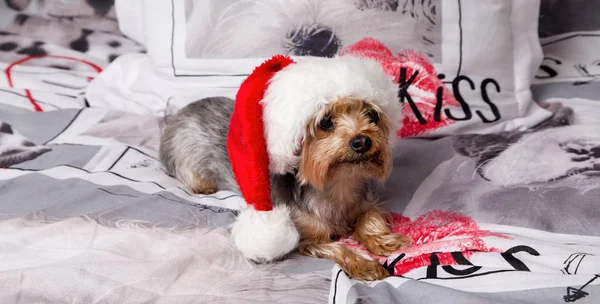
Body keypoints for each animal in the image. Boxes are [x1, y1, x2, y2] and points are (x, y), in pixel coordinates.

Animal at [161, 96, 412, 280]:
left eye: (372, 115)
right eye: (325, 122)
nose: (363, 141)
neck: (339, 182)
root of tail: (179, 113)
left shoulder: (366, 201)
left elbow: (369, 217)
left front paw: (385, 241)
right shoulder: (305, 236)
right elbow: (338, 248)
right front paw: (365, 266)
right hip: (187, 160)